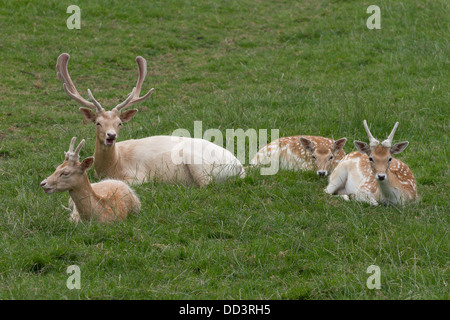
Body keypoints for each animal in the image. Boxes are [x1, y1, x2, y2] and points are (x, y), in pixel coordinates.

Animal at [56, 53, 246, 186]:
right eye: (98, 123)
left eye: (120, 123)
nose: (111, 135)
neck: (112, 165)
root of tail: (239, 167)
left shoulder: (138, 175)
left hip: (199, 164)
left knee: (206, 184)